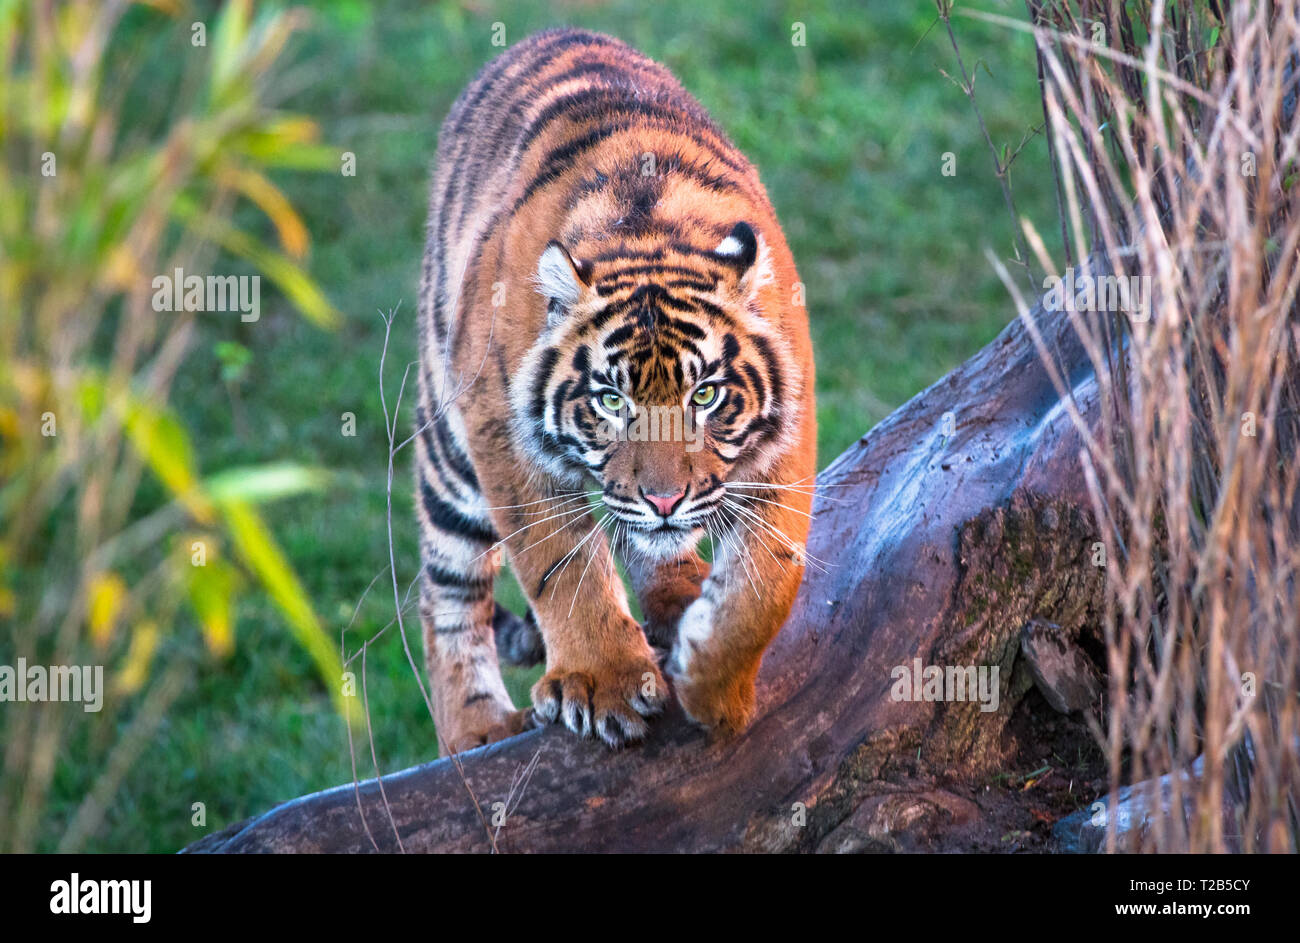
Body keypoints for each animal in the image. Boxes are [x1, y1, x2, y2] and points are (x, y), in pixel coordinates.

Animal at [416, 25, 811, 754]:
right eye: (610, 401)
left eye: (706, 396)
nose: (664, 499)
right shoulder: (499, 430)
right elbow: (557, 564)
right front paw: (604, 682)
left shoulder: (788, 435)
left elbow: (769, 579)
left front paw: (715, 689)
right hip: (450, 453)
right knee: (448, 591)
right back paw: (477, 727)